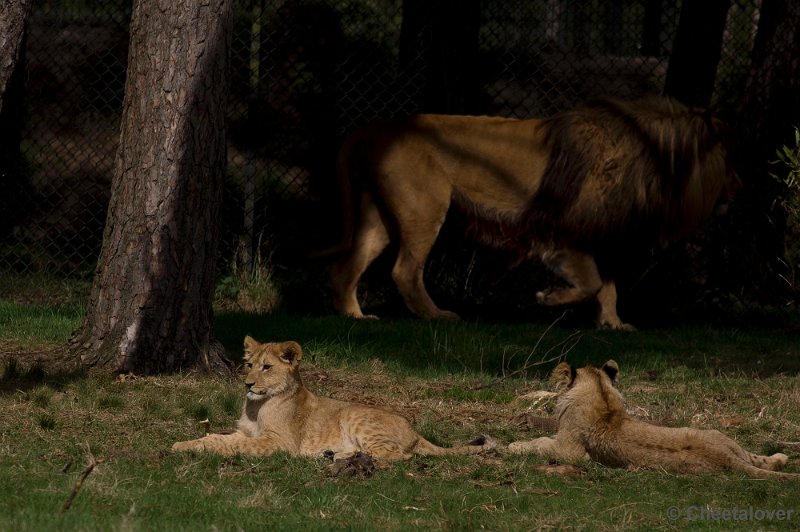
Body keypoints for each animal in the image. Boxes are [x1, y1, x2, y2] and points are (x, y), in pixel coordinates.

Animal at [170, 338, 494, 460]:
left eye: (267, 367)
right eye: (249, 364)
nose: (247, 383)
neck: (255, 404)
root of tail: (416, 431)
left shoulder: (279, 442)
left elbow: (232, 445)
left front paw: (197, 448)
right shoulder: (245, 430)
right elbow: (218, 435)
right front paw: (183, 444)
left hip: (356, 415)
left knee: (397, 455)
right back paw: (333, 456)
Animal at [328, 96, 740, 328]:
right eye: (728, 161)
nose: (740, 185)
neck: (653, 161)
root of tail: (372, 128)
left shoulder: (596, 233)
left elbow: (607, 286)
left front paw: (613, 324)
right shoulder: (563, 231)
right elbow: (591, 282)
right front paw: (549, 299)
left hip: (380, 215)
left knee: (348, 264)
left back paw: (354, 315)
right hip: (425, 208)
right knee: (405, 270)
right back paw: (436, 316)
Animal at [510, 362, 796, 478]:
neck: (602, 398)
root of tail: (724, 457)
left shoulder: (569, 451)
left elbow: (540, 443)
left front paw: (514, 446)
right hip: (717, 434)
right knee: (757, 458)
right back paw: (780, 457)